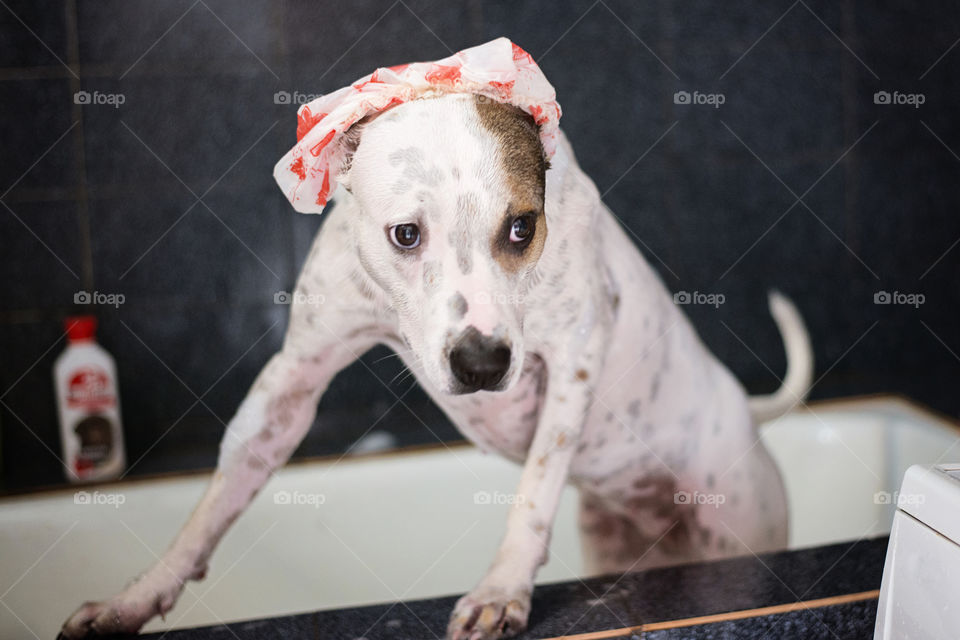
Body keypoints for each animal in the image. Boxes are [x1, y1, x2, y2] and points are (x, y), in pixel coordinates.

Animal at [60, 43, 808, 640]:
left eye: (522, 226)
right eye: (405, 234)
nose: (482, 362)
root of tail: (744, 412)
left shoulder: (571, 364)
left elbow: (533, 491)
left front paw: (502, 588)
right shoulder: (293, 380)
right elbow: (212, 505)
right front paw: (136, 598)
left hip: (739, 521)